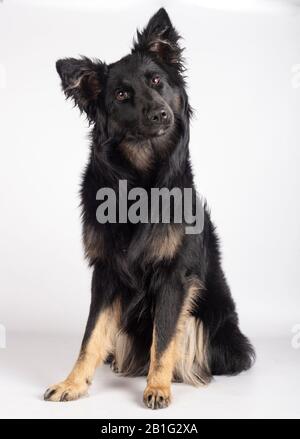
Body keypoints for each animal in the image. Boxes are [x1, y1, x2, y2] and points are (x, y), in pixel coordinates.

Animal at [44, 8, 254, 410]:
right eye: (122, 94)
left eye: (156, 81)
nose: (160, 114)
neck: (139, 176)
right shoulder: (106, 273)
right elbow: (90, 337)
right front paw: (73, 383)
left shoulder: (174, 276)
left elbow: (166, 336)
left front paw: (158, 387)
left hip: (213, 324)